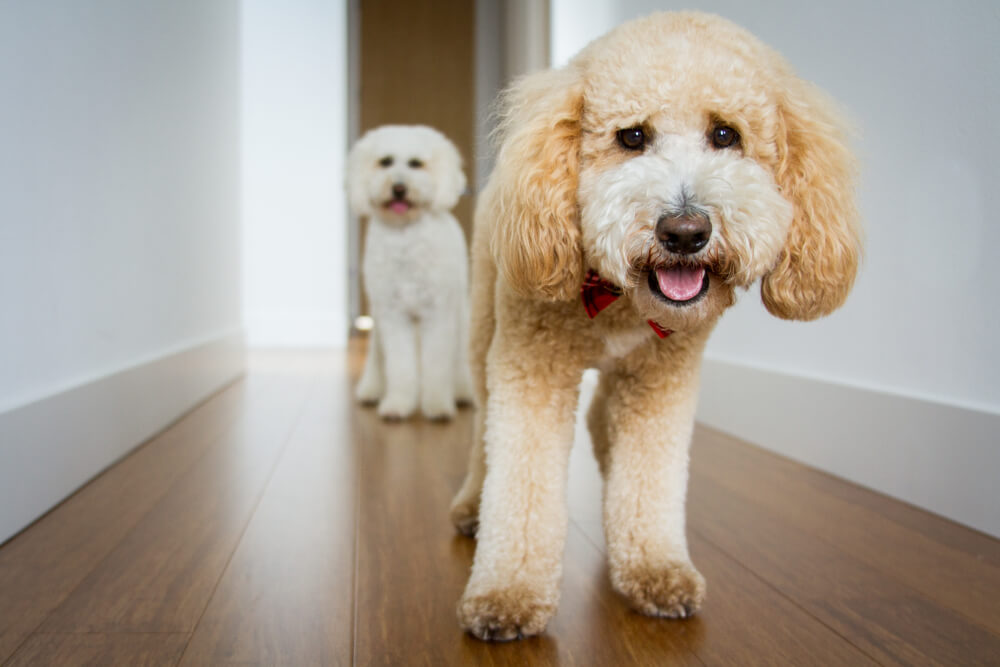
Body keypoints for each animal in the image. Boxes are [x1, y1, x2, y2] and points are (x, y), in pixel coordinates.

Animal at [348, 125, 472, 420]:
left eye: (416, 163)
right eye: (385, 161)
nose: (399, 188)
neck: (405, 235)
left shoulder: (437, 314)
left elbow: (437, 365)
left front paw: (437, 405)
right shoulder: (393, 315)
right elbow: (400, 365)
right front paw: (398, 403)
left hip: (460, 311)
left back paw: (461, 391)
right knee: (377, 356)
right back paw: (372, 389)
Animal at [450, 13, 864, 640]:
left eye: (726, 135)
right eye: (632, 137)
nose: (685, 231)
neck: (621, 298)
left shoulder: (659, 382)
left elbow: (650, 483)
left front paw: (653, 568)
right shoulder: (531, 368)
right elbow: (521, 488)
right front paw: (508, 593)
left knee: (601, 419)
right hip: (482, 336)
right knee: (483, 436)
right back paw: (473, 503)